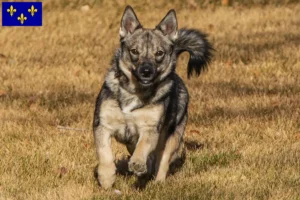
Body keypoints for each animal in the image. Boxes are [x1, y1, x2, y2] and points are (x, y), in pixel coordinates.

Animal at [92, 5, 212, 189]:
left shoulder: (150, 128)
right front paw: (106, 177)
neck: (135, 91)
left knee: (162, 160)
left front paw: (137, 163)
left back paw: (157, 182)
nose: (146, 71)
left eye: (159, 53)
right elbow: (104, 152)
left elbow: (143, 146)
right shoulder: (102, 124)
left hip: (173, 135)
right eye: (134, 51)